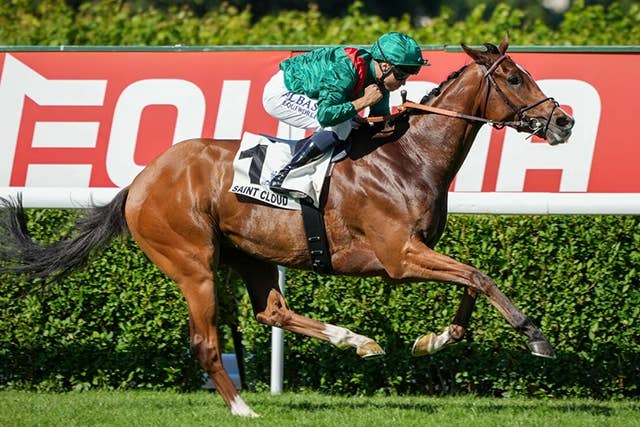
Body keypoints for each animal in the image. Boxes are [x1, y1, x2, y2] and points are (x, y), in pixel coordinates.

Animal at [0, 34, 574, 417]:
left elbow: (471, 284)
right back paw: (243, 408)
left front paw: (433, 339)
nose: (564, 121)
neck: (408, 157)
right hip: (193, 263)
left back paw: (355, 340)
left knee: (272, 311)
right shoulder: (399, 256)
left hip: (250, 253)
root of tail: (138, 183)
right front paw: (536, 337)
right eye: (515, 77)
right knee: (206, 342)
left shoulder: (415, 253)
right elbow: (479, 275)